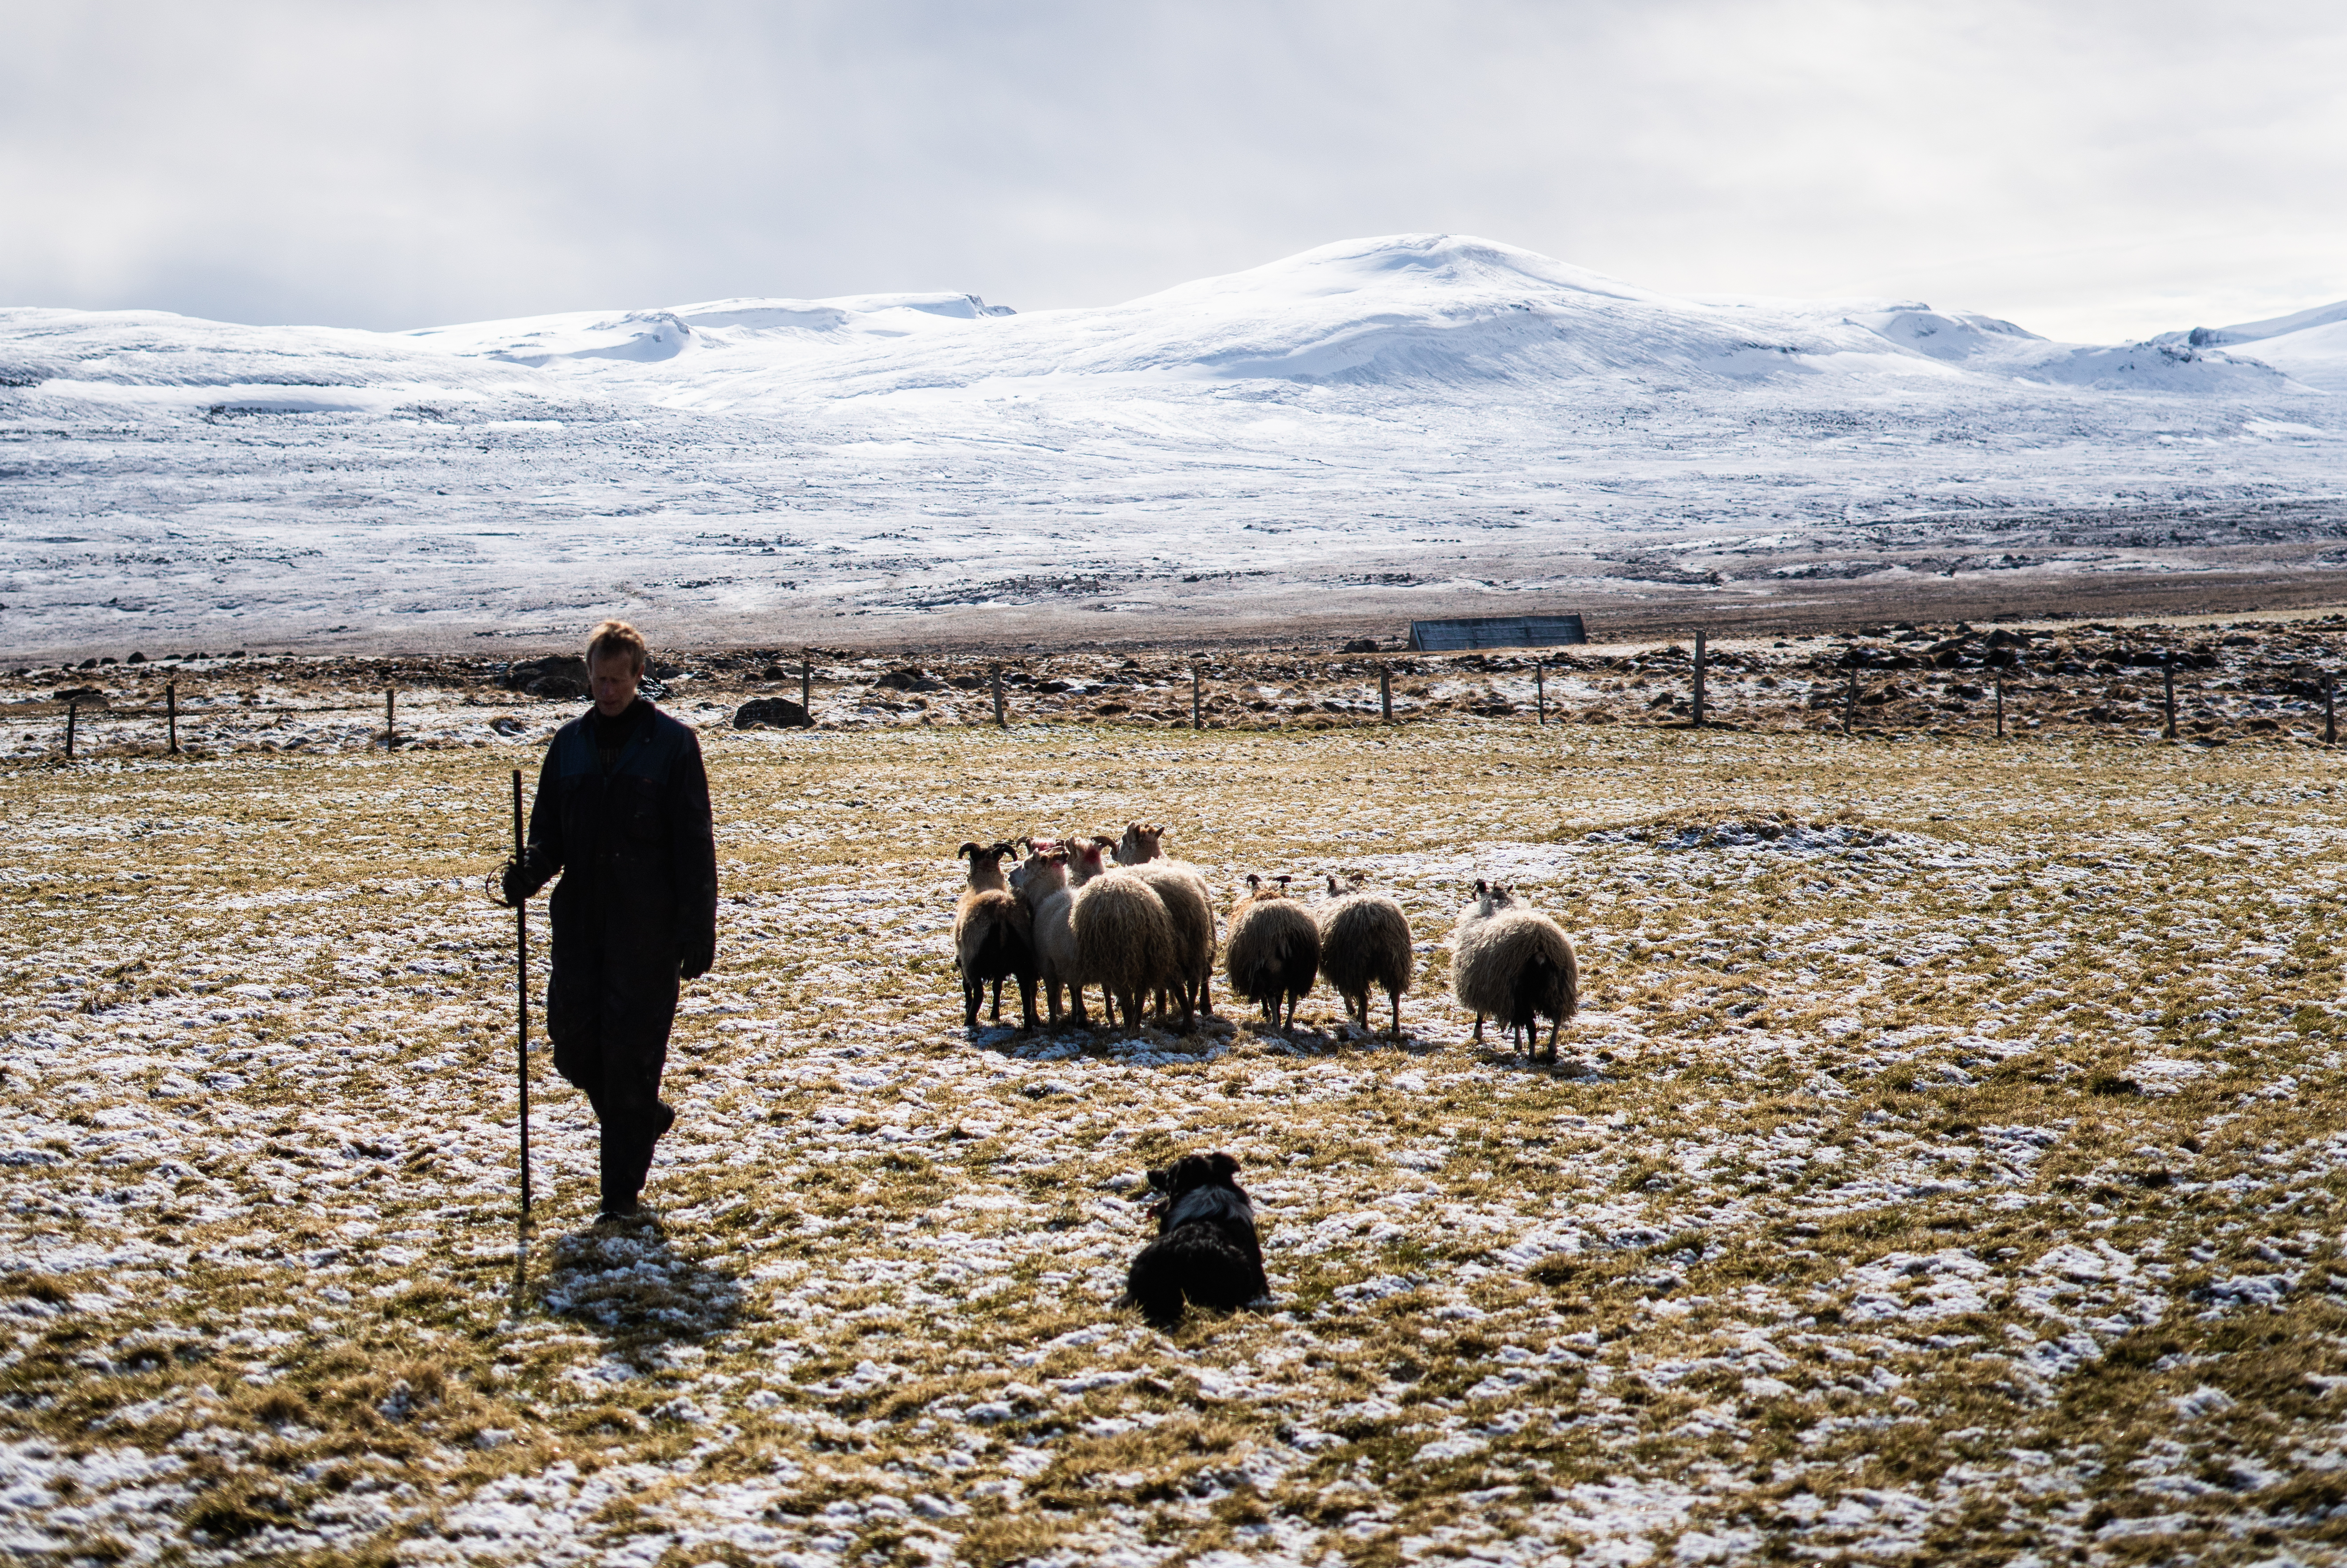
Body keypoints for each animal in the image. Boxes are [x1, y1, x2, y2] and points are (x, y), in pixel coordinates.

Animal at [1229, 868, 1324, 1028]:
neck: (1269, 896)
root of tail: (1283, 934)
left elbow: (1268, 998)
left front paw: (1267, 1014)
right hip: (1300, 969)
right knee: (1292, 998)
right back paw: (1288, 1026)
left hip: (1270, 970)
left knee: (1272, 998)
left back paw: (1276, 1024)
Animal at [1324, 877, 1408, 1032]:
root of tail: (1375, 920)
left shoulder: (1340, 968)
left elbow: (1346, 993)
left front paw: (1352, 1010)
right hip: (1396, 965)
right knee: (1395, 998)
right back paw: (1396, 1027)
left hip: (1355, 965)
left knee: (1363, 998)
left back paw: (1364, 1025)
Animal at [1445, 882, 1577, 1065]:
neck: (1498, 905)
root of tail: (1540, 947)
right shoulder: (1504, 994)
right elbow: (1516, 1022)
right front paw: (1517, 1043)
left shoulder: (1484, 986)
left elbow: (1480, 1012)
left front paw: (1478, 1033)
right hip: (1559, 990)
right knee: (1557, 1020)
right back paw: (1551, 1052)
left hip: (1523, 992)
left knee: (1532, 1027)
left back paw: (1532, 1057)